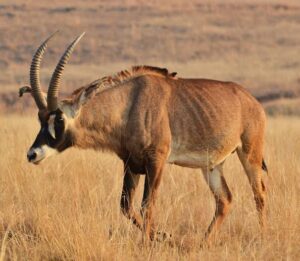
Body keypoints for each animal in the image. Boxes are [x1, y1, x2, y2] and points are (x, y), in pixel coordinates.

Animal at [19, 33, 268, 242]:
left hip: (250, 154)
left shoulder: (156, 161)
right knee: (224, 200)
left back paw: (261, 236)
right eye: (40, 118)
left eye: (59, 119)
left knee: (259, 194)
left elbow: (147, 205)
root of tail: (252, 100)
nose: (32, 154)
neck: (129, 103)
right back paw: (203, 242)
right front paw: (163, 236)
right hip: (212, 165)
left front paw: (151, 242)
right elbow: (126, 206)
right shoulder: (131, 163)